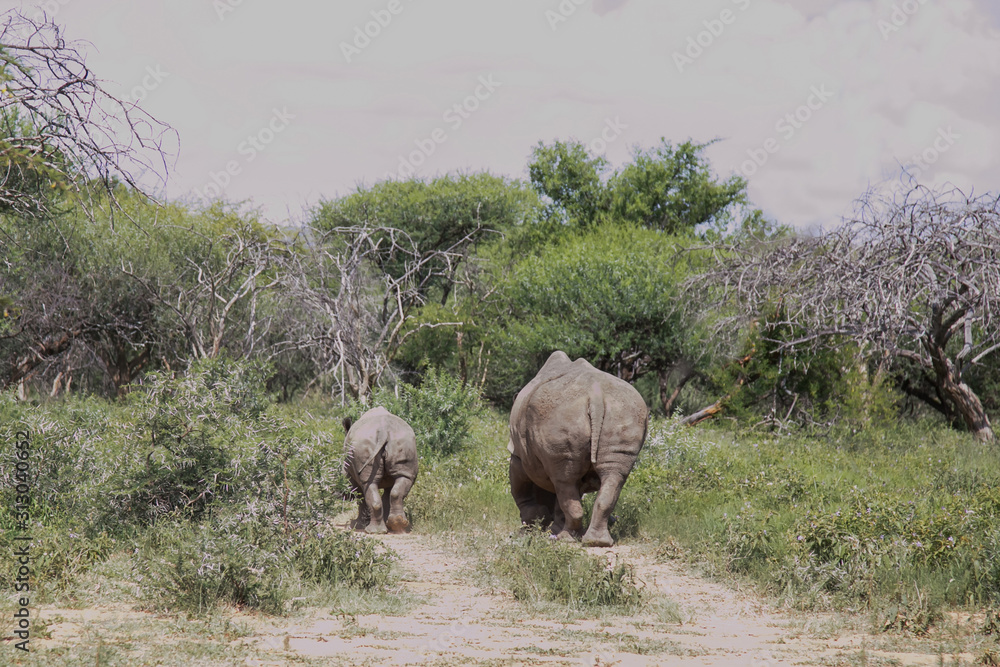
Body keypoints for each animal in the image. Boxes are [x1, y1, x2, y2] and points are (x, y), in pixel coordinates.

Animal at [508, 351, 649, 547]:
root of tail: (596, 397)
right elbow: (562, 498)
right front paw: (552, 528)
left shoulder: (518, 455)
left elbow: (521, 490)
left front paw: (530, 529)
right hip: (624, 412)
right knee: (609, 476)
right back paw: (596, 542)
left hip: (560, 415)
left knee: (565, 481)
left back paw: (567, 539)